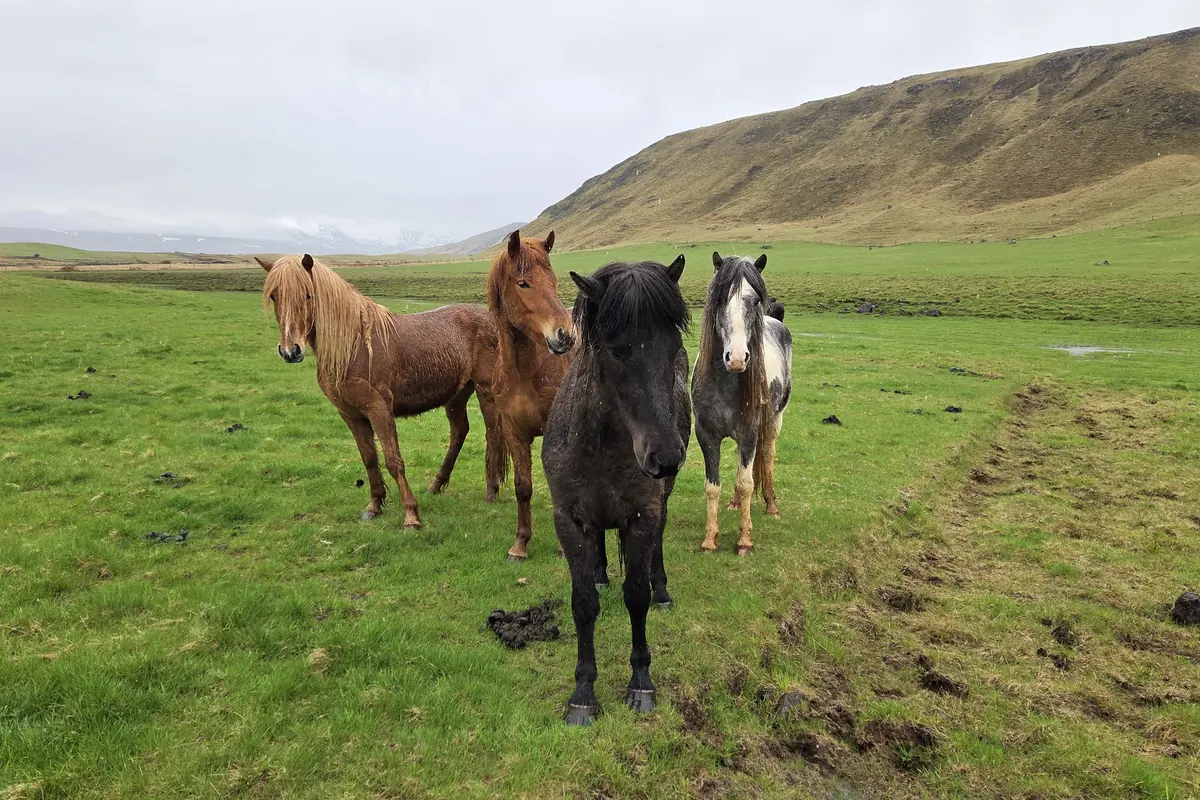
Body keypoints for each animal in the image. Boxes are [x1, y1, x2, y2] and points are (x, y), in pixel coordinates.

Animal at [259, 254, 506, 527]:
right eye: (274, 296)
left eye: (307, 295)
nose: (290, 351)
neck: (354, 346)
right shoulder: (352, 415)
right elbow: (370, 459)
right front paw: (374, 506)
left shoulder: (378, 410)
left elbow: (393, 460)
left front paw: (411, 515)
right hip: (457, 394)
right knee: (459, 433)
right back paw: (435, 485)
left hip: (485, 390)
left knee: (493, 434)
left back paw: (491, 492)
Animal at [487, 229, 576, 561]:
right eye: (523, 283)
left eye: (553, 279)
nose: (565, 335)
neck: (524, 374)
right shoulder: (513, 431)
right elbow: (523, 486)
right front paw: (520, 544)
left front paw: (565, 547)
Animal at [542, 256, 691, 725]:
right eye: (616, 349)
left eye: (672, 347)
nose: (666, 456)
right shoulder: (569, 520)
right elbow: (583, 602)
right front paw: (583, 692)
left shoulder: (641, 516)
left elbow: (636, 597)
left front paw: (641, 682)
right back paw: (602, 571)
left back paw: (663, 590)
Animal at [692, 252, 792, 556]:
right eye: (719, 298)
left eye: (756, 299)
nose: (736, 358)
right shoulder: (706, 435)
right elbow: (712, 486)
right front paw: (710, 539)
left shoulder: (749, 432)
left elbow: (747, 482)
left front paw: (745, 540)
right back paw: (735, 503)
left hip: (773, 422)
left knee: (767, 456)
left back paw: (771, 505)